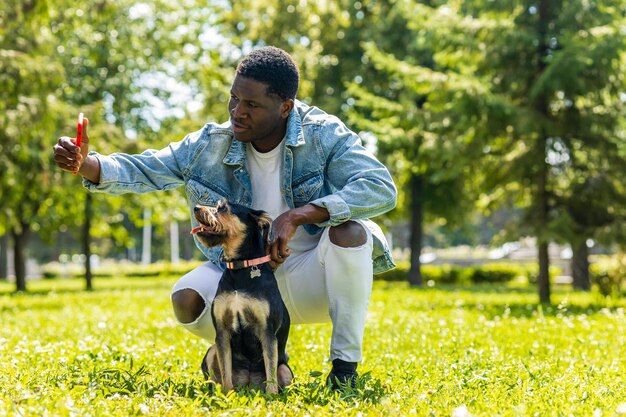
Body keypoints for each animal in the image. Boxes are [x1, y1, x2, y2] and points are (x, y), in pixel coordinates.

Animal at [190, 200, 290, 392]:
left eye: (223, 208)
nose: (196, 208)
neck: (240, 267)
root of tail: (249, 383)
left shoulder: (267, 330)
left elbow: (271, 372)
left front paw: (271, 396)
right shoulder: (222, 330)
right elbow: (226, 372)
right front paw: (227, 395)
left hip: (285, 369)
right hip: (212, 350)